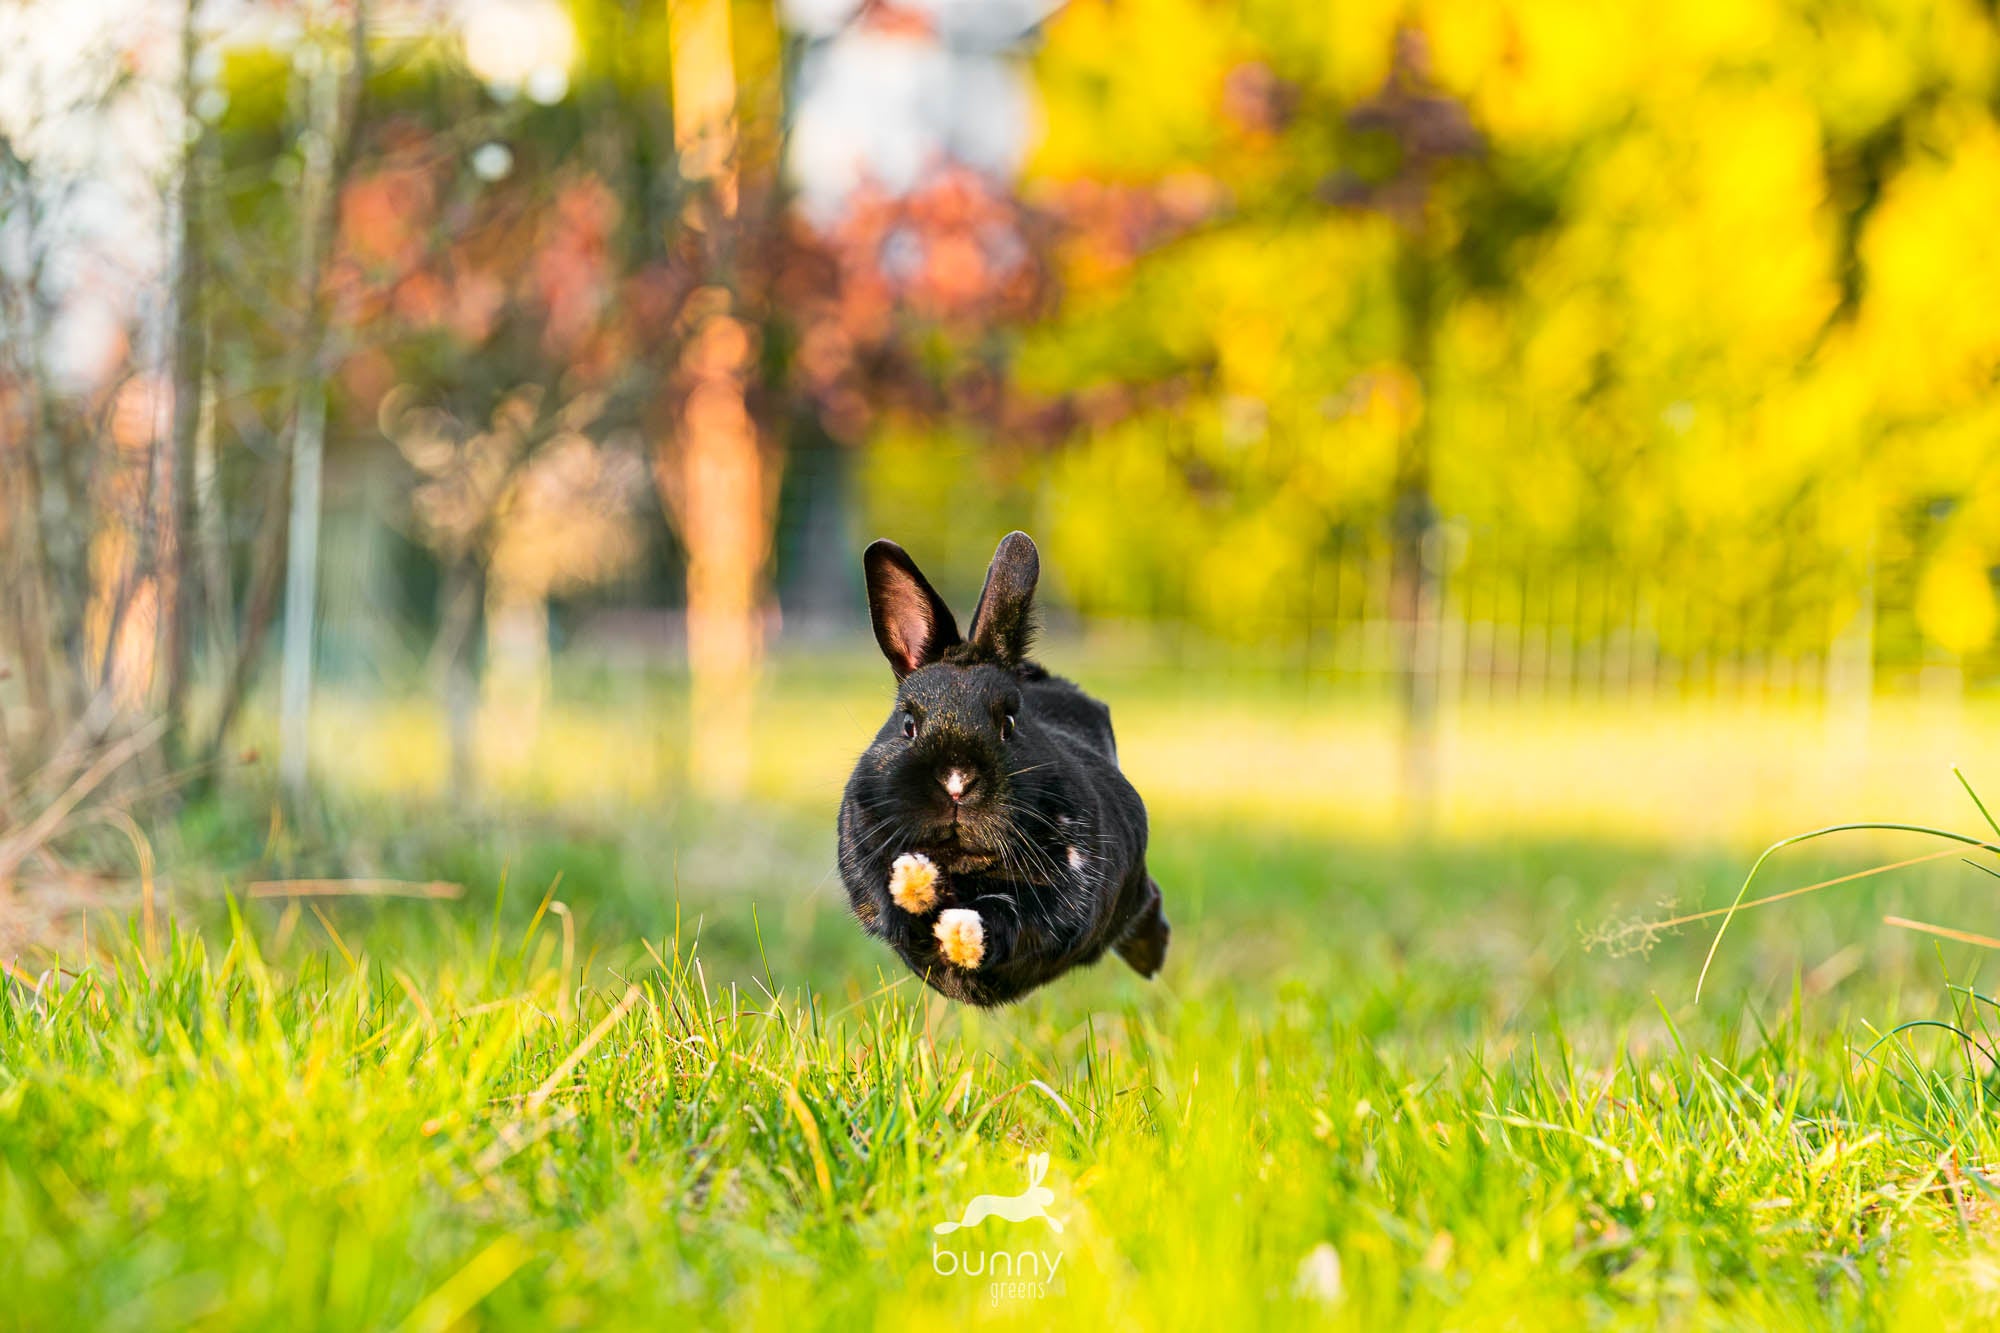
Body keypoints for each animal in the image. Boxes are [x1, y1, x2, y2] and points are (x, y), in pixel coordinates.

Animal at [832, 524, 1168, 1000]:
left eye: (1008, 722)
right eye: (908, 723)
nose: (956, 782)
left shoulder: (1057, 899)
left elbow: (1010, 916)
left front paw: (962, 933)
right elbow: (897, 906)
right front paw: (914, 880)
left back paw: (1153, 958)